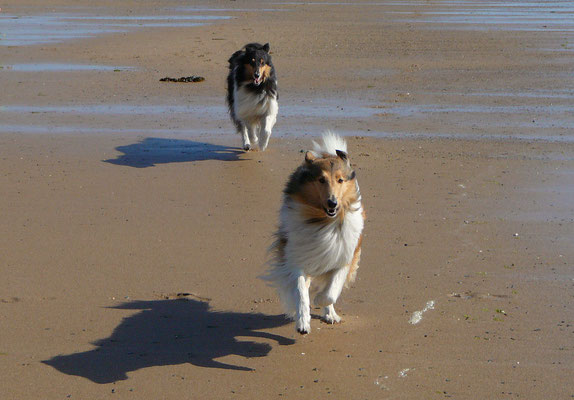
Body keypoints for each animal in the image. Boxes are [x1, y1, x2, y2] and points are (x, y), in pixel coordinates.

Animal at [264, 132, 366, 334]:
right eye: (321, 180)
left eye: (340, 180)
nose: (332, 203)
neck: (323, 221)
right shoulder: (298, 259)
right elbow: (301, 293)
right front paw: (303, 322)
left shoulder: (343, 256)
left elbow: (331, 291)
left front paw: (321, 300)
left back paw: (330, 314)